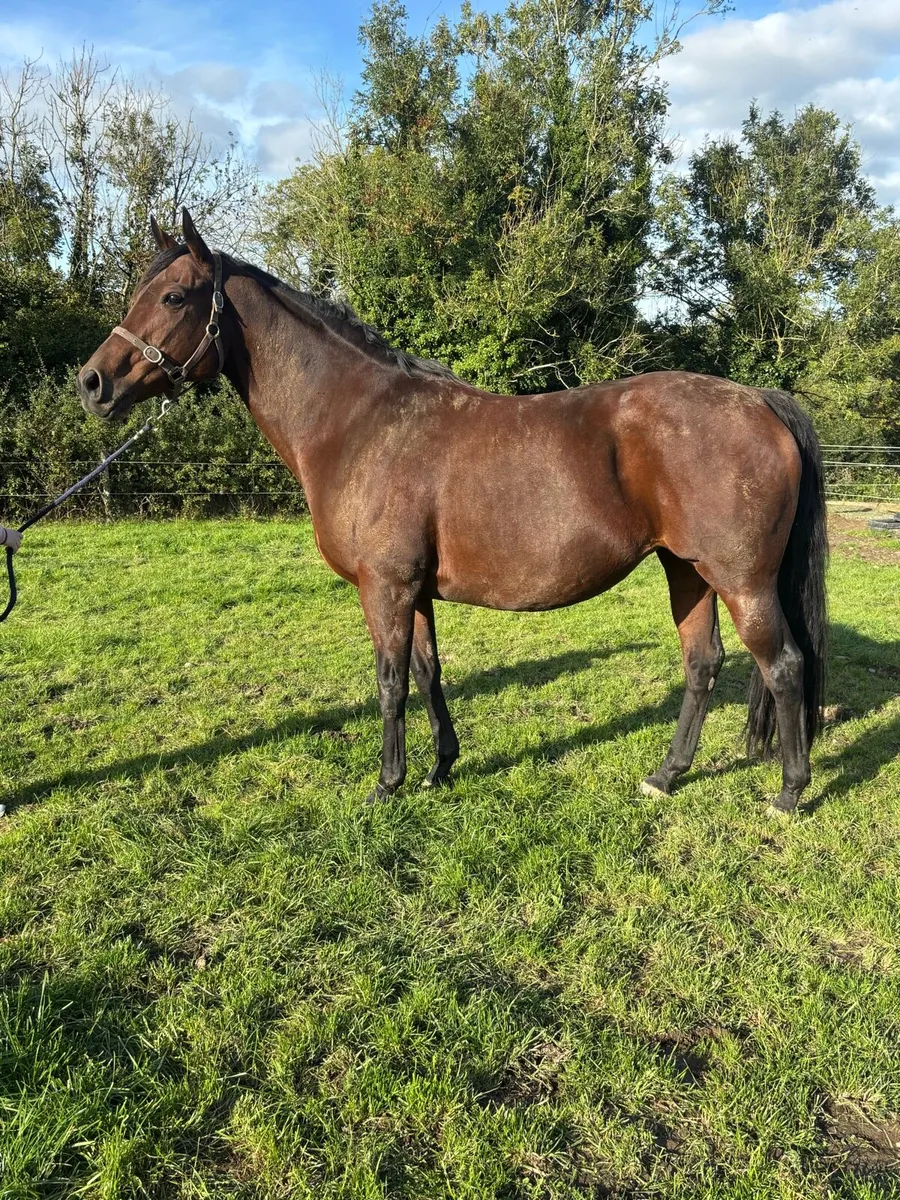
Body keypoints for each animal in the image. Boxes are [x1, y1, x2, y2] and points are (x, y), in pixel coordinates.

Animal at [77, 211, 827, 815]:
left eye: (174, 296)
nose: (92, 382)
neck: (358, 421)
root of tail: (761, 401)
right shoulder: (413, 590)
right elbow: (427, 672)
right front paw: (440, 768)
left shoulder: (384, 587)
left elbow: (388, 682)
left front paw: (387, 784)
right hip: (686, 570)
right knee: (703, 664)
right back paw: (666, 776)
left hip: (742, 581)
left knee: (785, 666)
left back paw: (790, 792)